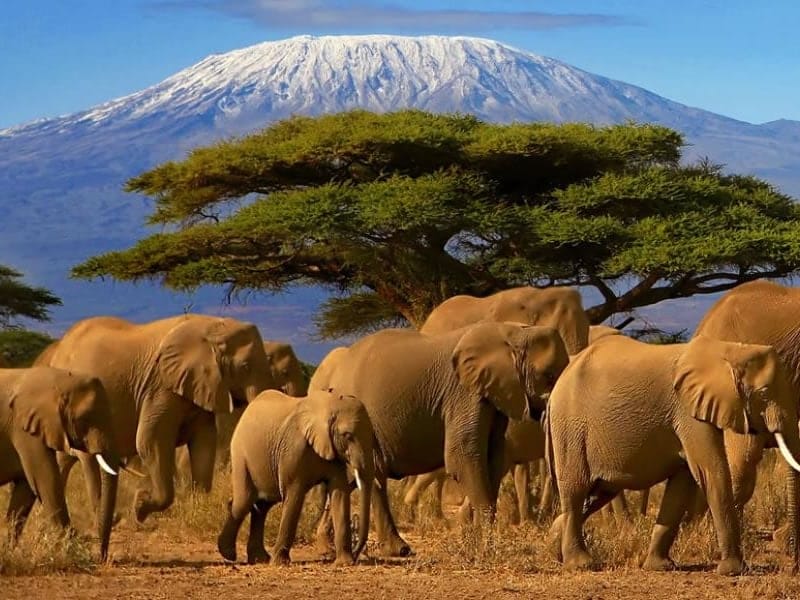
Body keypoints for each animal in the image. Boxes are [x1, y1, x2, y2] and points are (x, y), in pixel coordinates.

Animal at [0, 368, 120, 560]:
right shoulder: (24, 432)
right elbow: (46, 480)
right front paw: (72, 553)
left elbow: (25, 491)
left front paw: (8, 553)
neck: (59, 381)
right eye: (85, 418)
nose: (103, 558)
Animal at [36, 314, 274, 520]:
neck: (215, 326)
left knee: (64, 459)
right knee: (86, 459)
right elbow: (150, 441)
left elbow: (204, 443)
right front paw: (140, 506)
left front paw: (198, 507)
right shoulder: (160, 386)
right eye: (245, 367)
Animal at [216, 392, 372, 564]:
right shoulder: (293, 449)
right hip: (240, 453)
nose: (358, 554)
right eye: (347, 435)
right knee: (244, 501)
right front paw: (280, 563)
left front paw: (344, 563)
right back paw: (229, 554)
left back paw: (259, 559)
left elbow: (339, 494)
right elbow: (294, 495)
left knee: (262, 507)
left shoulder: (334, 452)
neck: (330, 405)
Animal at [310, 322, 564, 556]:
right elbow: (462, 456)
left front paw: (477, 544)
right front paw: (486, 549)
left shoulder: (495, 395)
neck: (514, 332)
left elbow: (493, 459)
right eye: (549, 376)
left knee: (364, 477)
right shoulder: (463, 393)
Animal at [544, 336, 800, 576]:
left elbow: (681, 484)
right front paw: (734, 571)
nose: (793, 568)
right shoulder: (688, 413)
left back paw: (554, 548)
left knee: (597, 494)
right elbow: (711, 473)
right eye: (764, 394)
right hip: (570, 427)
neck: (730, 350)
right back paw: (581, 564)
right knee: (576, 490)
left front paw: (660, 567)